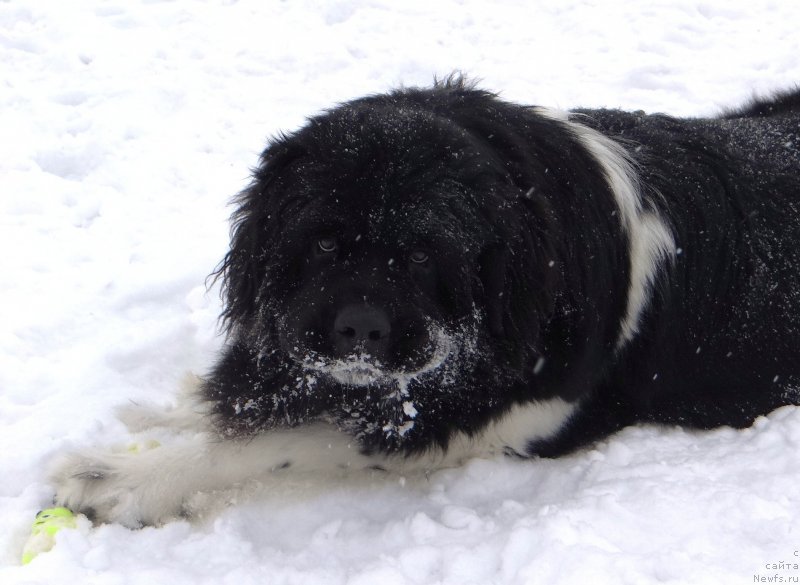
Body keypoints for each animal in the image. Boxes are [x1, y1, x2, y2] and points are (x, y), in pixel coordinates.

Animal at [53, 75, 800, 528]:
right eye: (324, 243)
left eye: (420, 255)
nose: (359, 327)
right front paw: (172, 409)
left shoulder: (498, 423)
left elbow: (289, 439)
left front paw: (124, 477)